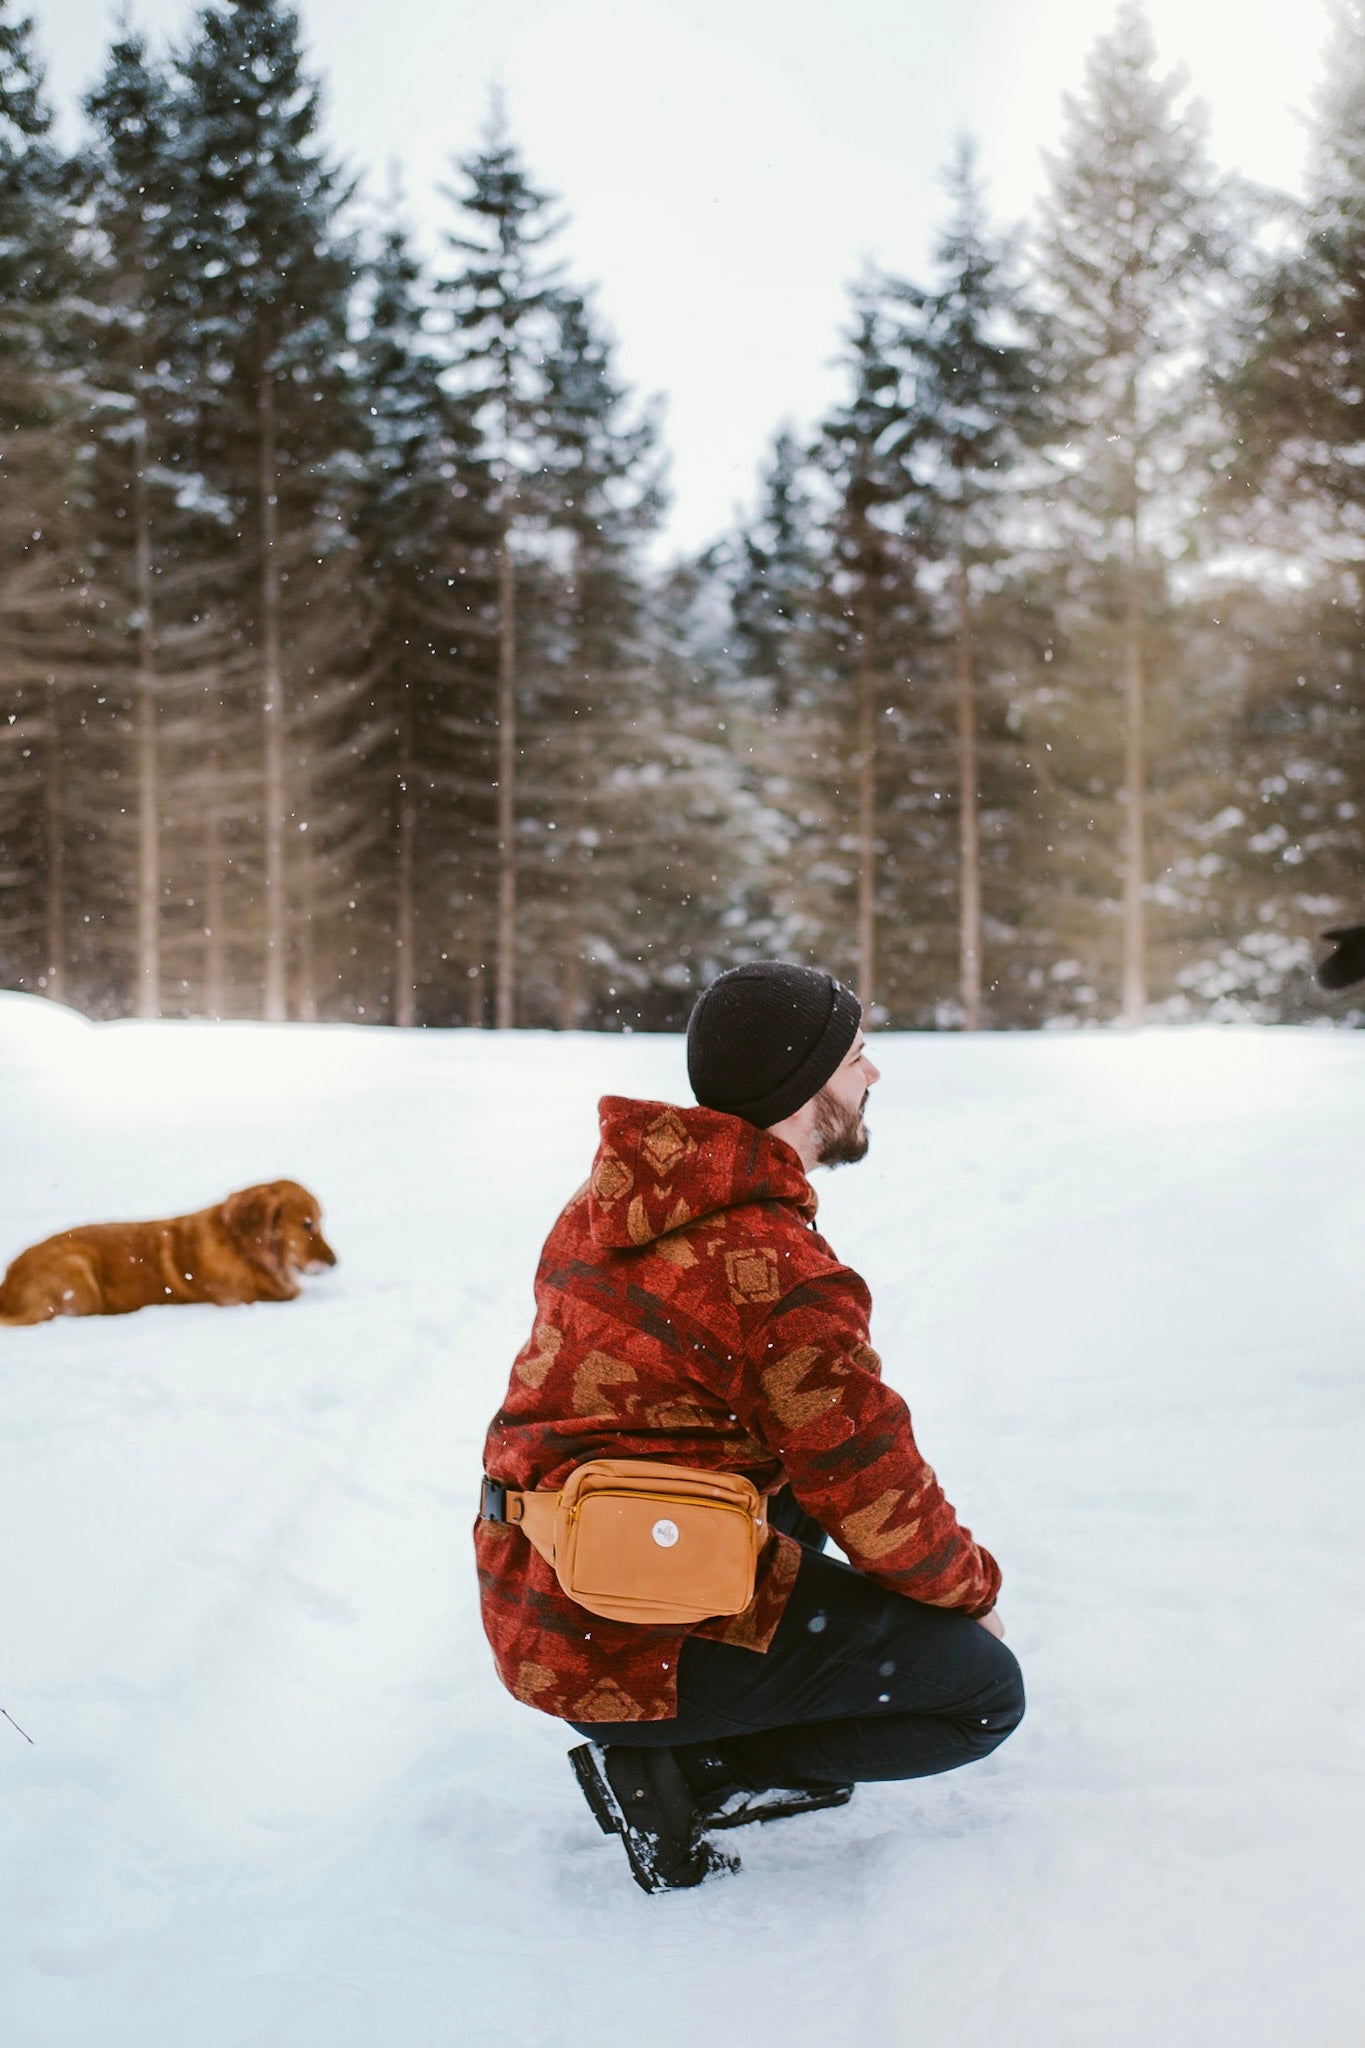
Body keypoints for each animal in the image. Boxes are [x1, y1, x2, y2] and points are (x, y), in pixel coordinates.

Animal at [0, 1187, 339, 1327]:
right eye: (307, 1224)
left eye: (319, 1221)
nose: (335, 1262)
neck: (242, 1248)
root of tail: (7, 1288)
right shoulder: (242, 1298)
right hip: (77, 1270)